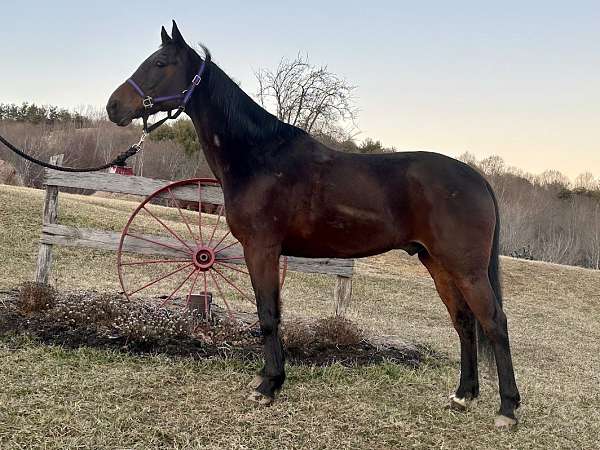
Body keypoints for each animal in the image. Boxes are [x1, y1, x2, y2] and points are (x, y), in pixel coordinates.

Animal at [108, 22, 520, 428]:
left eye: (160, 63)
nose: (113, 106)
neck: (259, 156)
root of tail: (478, 179)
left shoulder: (261, 249)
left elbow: (268, 314)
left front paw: (268, 387)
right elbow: (270, 312)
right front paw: (268, 378)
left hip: (466, 269)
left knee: (494, 322)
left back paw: (508, 409)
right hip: (437, 263)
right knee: (464, 322)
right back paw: (463, 396)